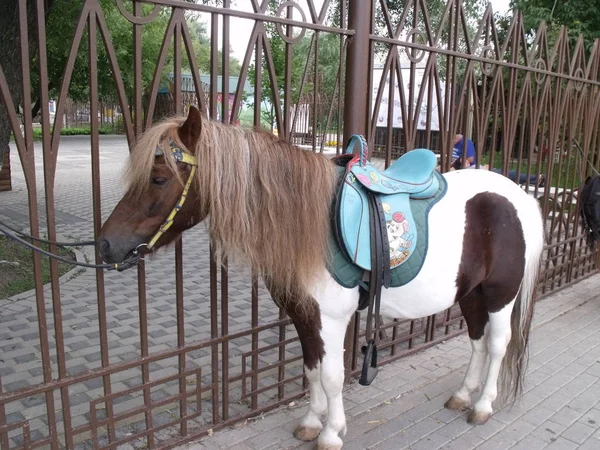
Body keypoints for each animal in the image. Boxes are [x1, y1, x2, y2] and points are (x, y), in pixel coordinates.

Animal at [101, 106, 548, 450]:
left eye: (159, 178)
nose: (106, 246)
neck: (309, 223)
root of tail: (519, 195)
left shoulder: (330, 318)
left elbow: (332, 376)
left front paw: (332, 433)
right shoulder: (304, 316)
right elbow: (312, 368)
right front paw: (311, 422)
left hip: (500, 295)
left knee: (497, 344)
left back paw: (483, 405)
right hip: (470, 293)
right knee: (476, 341)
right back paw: (462, 395)